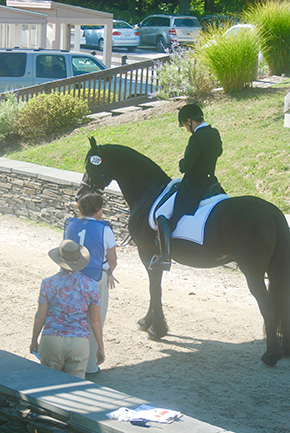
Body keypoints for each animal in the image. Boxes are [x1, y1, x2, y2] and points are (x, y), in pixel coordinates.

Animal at [77, 140, 290, 366]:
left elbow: (154, 289)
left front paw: (156, 329)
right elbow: (155, 289)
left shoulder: (147, 254)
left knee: (267, 305)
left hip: (253, 272)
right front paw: (147, 323)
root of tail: (272, 211)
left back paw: (271, 355)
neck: (148, 191)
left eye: (91, 165)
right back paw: (285, 350)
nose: (80, 195)